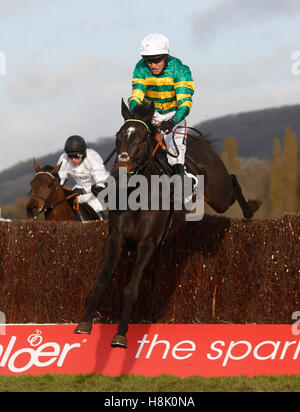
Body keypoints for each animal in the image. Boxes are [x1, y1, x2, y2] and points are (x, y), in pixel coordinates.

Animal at [74, 100, 262, 348]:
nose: (120, 171)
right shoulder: (116, 238)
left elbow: (131, 289)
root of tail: (200, 142)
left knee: (231, 181)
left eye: (142, 138)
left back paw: (252, 207)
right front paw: (85, 322)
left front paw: (121, 334)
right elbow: (102, 279)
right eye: (118, 136)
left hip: (219, 193)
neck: (138, 195)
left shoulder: (148, 242)